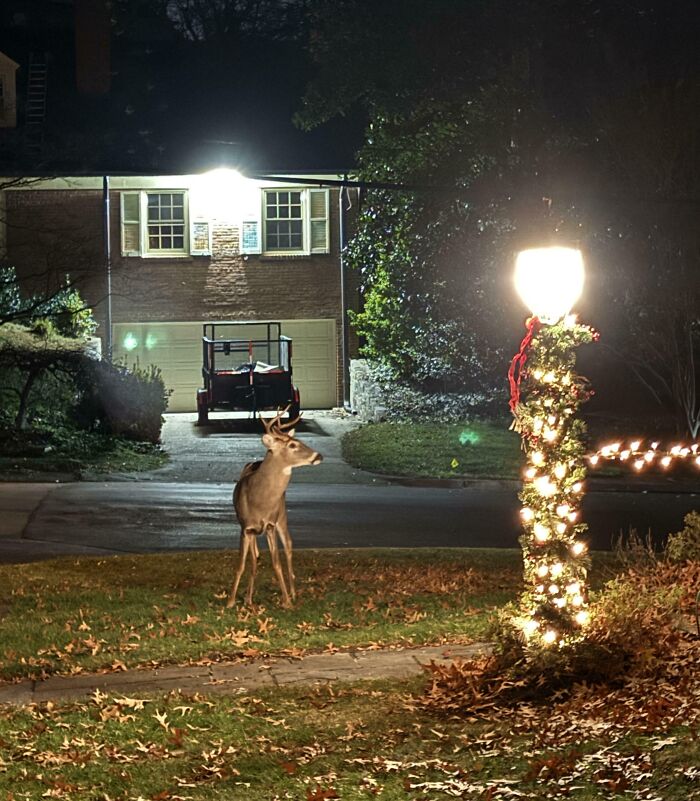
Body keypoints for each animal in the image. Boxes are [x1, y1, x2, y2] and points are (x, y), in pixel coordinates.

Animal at [227, 408, 323, 609]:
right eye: (293, 445)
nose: (318, 456)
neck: (259, 500)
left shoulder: (270, 525)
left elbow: (276, 563)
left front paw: (286, 600)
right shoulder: (245, 528)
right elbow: (242, 564)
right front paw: (232, 601)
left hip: (282, 517)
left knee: (288, 547)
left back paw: (293, 591)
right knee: (255, 557)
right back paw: (249, 597)